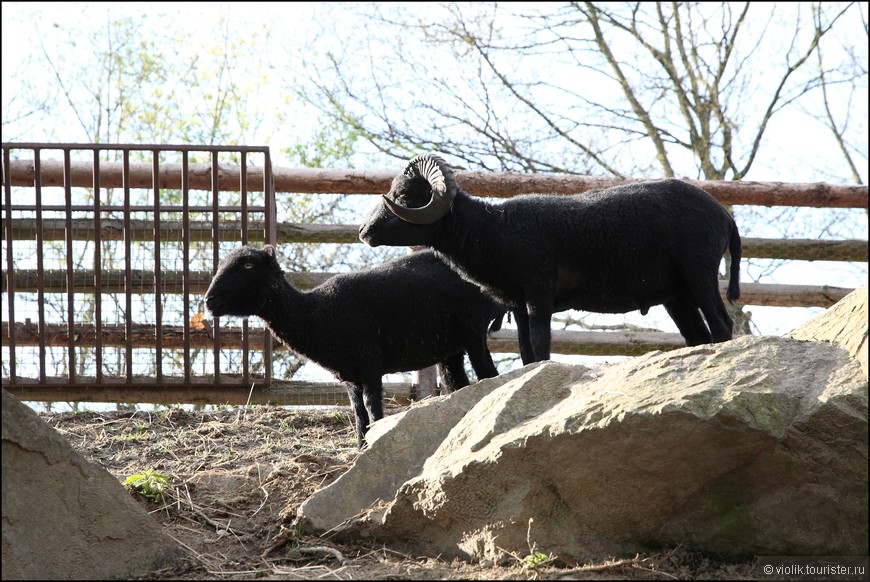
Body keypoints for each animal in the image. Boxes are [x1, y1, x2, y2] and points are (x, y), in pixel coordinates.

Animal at [205, 244, 504, 450]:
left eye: (247, 265)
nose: (209, 300)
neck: (318, 313)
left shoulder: (369, 361)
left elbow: (372, 408)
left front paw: (374, 445)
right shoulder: (349, 375)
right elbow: (359, 415)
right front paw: (361, 448)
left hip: (473, 328)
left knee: (489, 374)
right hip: (450, 347)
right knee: (459, 382)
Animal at [362, 155, 744, 364]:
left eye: (403, 195)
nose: (365, 231)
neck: (493, 230)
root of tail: (725, 217)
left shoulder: (539, 296)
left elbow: (541, 347)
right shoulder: (518, 306)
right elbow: (526, 353)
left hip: (699, 272)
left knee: (722, 326)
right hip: (676, 295)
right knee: (699, 336)